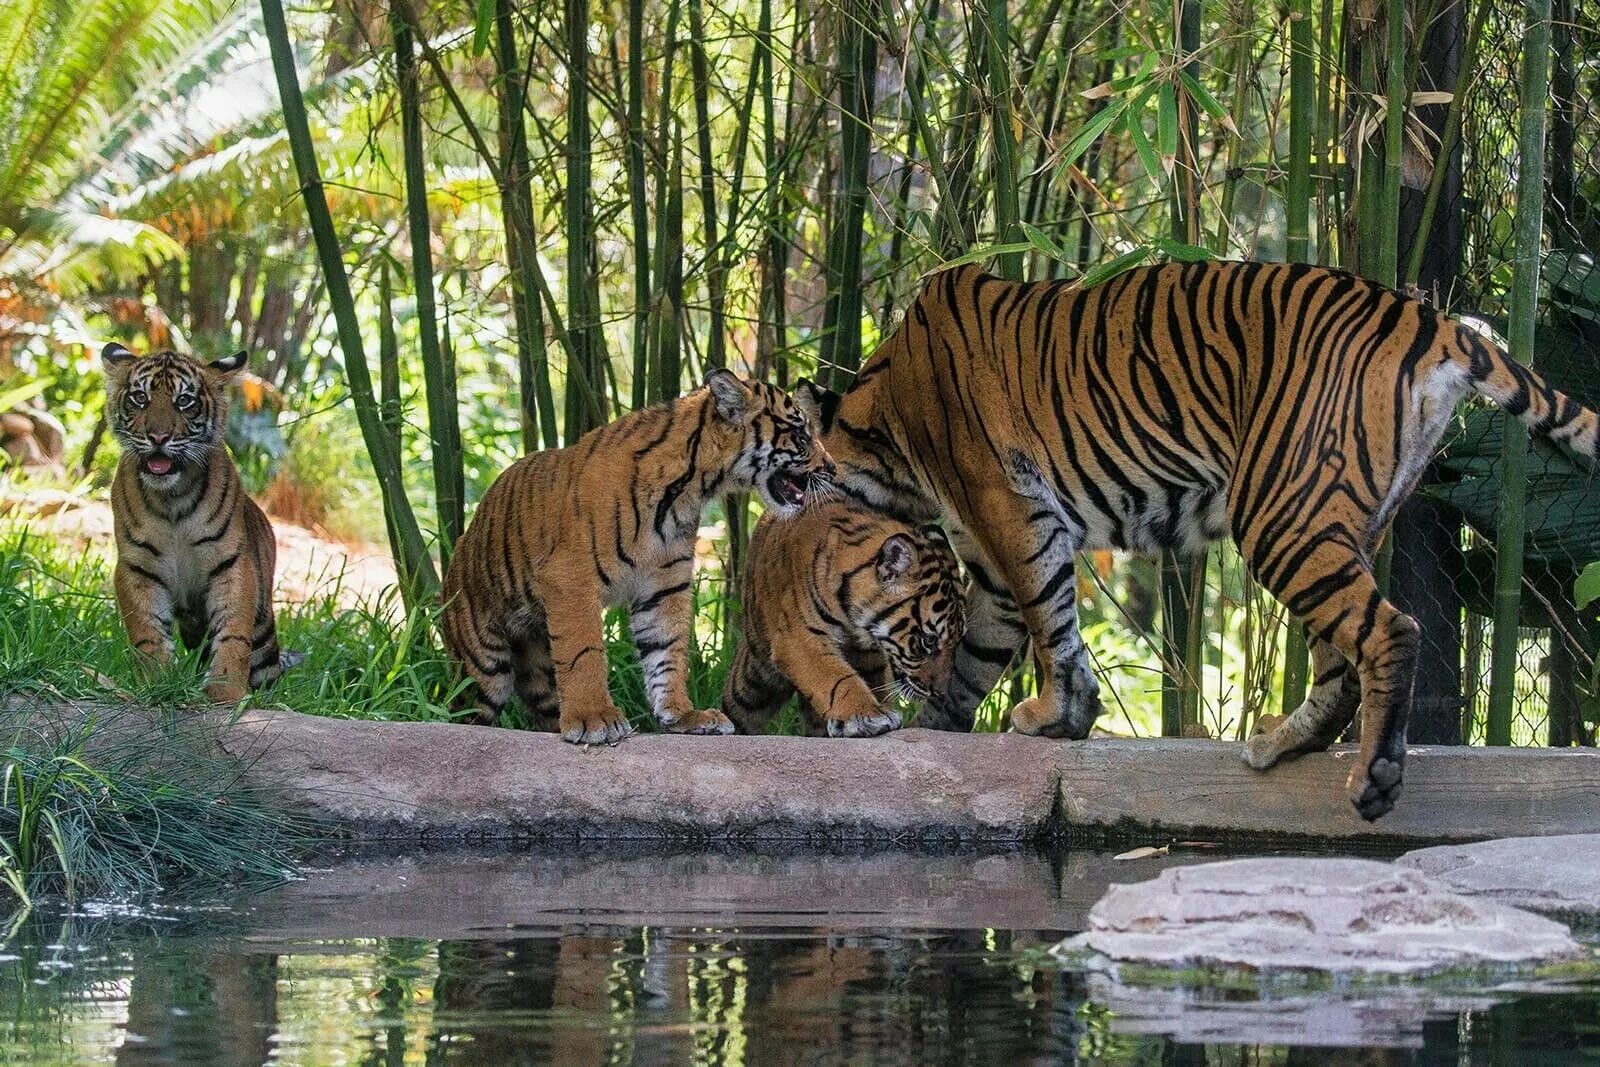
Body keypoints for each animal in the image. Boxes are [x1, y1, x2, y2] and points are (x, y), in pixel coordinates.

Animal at [101, 342, 299, 703]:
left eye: (184, 401)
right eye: (140, 397)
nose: (159, 436)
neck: (172, 499)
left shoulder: (232, 565)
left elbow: (233, 633)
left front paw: (225, 692)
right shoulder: (137, 568)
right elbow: (147, 632)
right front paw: (158, 681)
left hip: (264, 626)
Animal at [444, 371, 832, 748]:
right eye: (800, 435)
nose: (831, 468)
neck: (688, 488)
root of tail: (463, 541)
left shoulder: (664, 586)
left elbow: (667, 650)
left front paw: (683, 716)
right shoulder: (571, 579)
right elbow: (584, 653)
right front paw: (594, 719)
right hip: (483, 667)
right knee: (463, 709)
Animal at [723, 499, 960, 735]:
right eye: (929, 640)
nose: (939, 693)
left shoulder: (868, 656)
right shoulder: (798, 638)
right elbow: (837, 678)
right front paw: (867, 714)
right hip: (754, 681)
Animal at [800, 262, 1600, 825]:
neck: (891, 424)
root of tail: (1424, 316)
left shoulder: (1012, 512)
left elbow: (1047, 617)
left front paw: (1052, 715)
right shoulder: (993, 557)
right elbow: (983, 650)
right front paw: (945, 727)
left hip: (1281, 514)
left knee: (1390, 630)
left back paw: (1373, 775)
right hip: (1339, 519)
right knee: (1339, 657)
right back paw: (1281, 743)